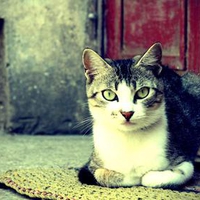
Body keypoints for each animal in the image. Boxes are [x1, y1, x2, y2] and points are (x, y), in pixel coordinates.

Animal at [77, 43, 200, 188]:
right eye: (109, 94)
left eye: (143, 92)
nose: (127, 113)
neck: (129, 137)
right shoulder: (89, 167)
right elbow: (104, 174)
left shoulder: (185, 158)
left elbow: (154, 177)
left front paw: (146, 175)